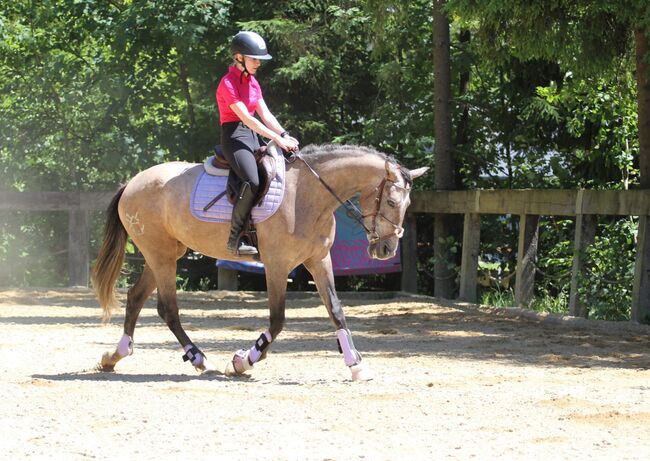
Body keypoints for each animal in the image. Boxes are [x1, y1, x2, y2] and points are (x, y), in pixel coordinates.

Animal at [90, 142, 426, 380]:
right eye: (392, 201)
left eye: (408, 203)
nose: (386, 249)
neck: (308, 195)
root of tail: (132, 183)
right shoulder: (278, 265)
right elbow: (277, 320)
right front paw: (242, 361)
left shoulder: (319, 261)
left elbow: (336, 311)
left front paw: (355, 365)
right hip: (161, 256)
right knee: (167, 308)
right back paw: (197, 357)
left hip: (165, 253)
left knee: (136, 297)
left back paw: (114, 356)